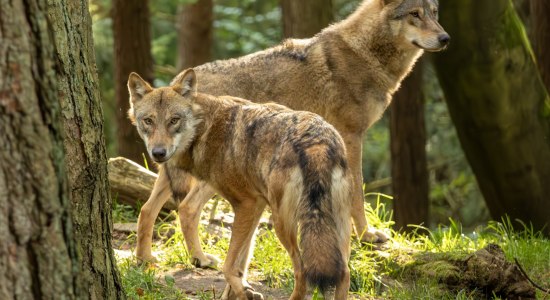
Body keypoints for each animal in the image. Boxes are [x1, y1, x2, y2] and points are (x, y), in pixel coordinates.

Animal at [129, 69, 354, 300]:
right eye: (148, 121)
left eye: (174, 120)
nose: (158, 152)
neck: (206, 128)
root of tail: (316, 144)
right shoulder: (255, 205)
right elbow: (241, 262)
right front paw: (241, 290)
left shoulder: (247, 204)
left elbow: (229, 265)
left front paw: (241, 289)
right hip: (334, 226)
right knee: (343, 272)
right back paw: (148, 259)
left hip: (283, 223)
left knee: (303, 272)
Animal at [136, 0, 450, 270]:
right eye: (415, 14)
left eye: (434, 12)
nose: (446, 38)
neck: (365, 53)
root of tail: (178, 83)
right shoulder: (352, 137)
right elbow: (357, 194)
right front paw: (366, 236)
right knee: (187, 208)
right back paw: (199, 260)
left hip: (171, 167)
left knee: (148, 209)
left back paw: (147, 260)